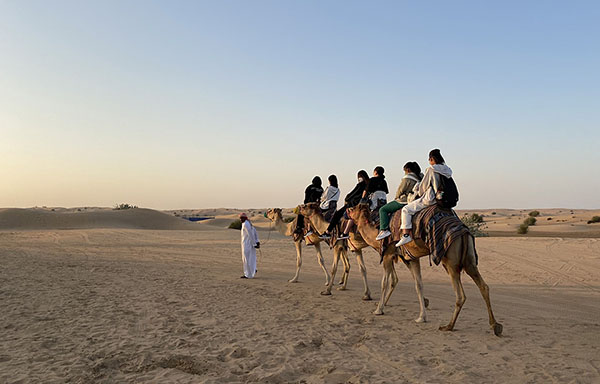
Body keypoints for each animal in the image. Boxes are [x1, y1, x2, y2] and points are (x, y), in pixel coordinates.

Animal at [346, 204, 502, 336]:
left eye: (354, 208)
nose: (347, 210)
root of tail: (463, 230)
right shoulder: (411, 258)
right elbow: (418, 285)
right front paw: (422, 317)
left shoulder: (388, 254)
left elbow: (384, 282)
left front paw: (378, 310)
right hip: (469, 260)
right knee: (484, 286)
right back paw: (495, 326)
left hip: (450, 261)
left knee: (460, 295)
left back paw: (448, 326)